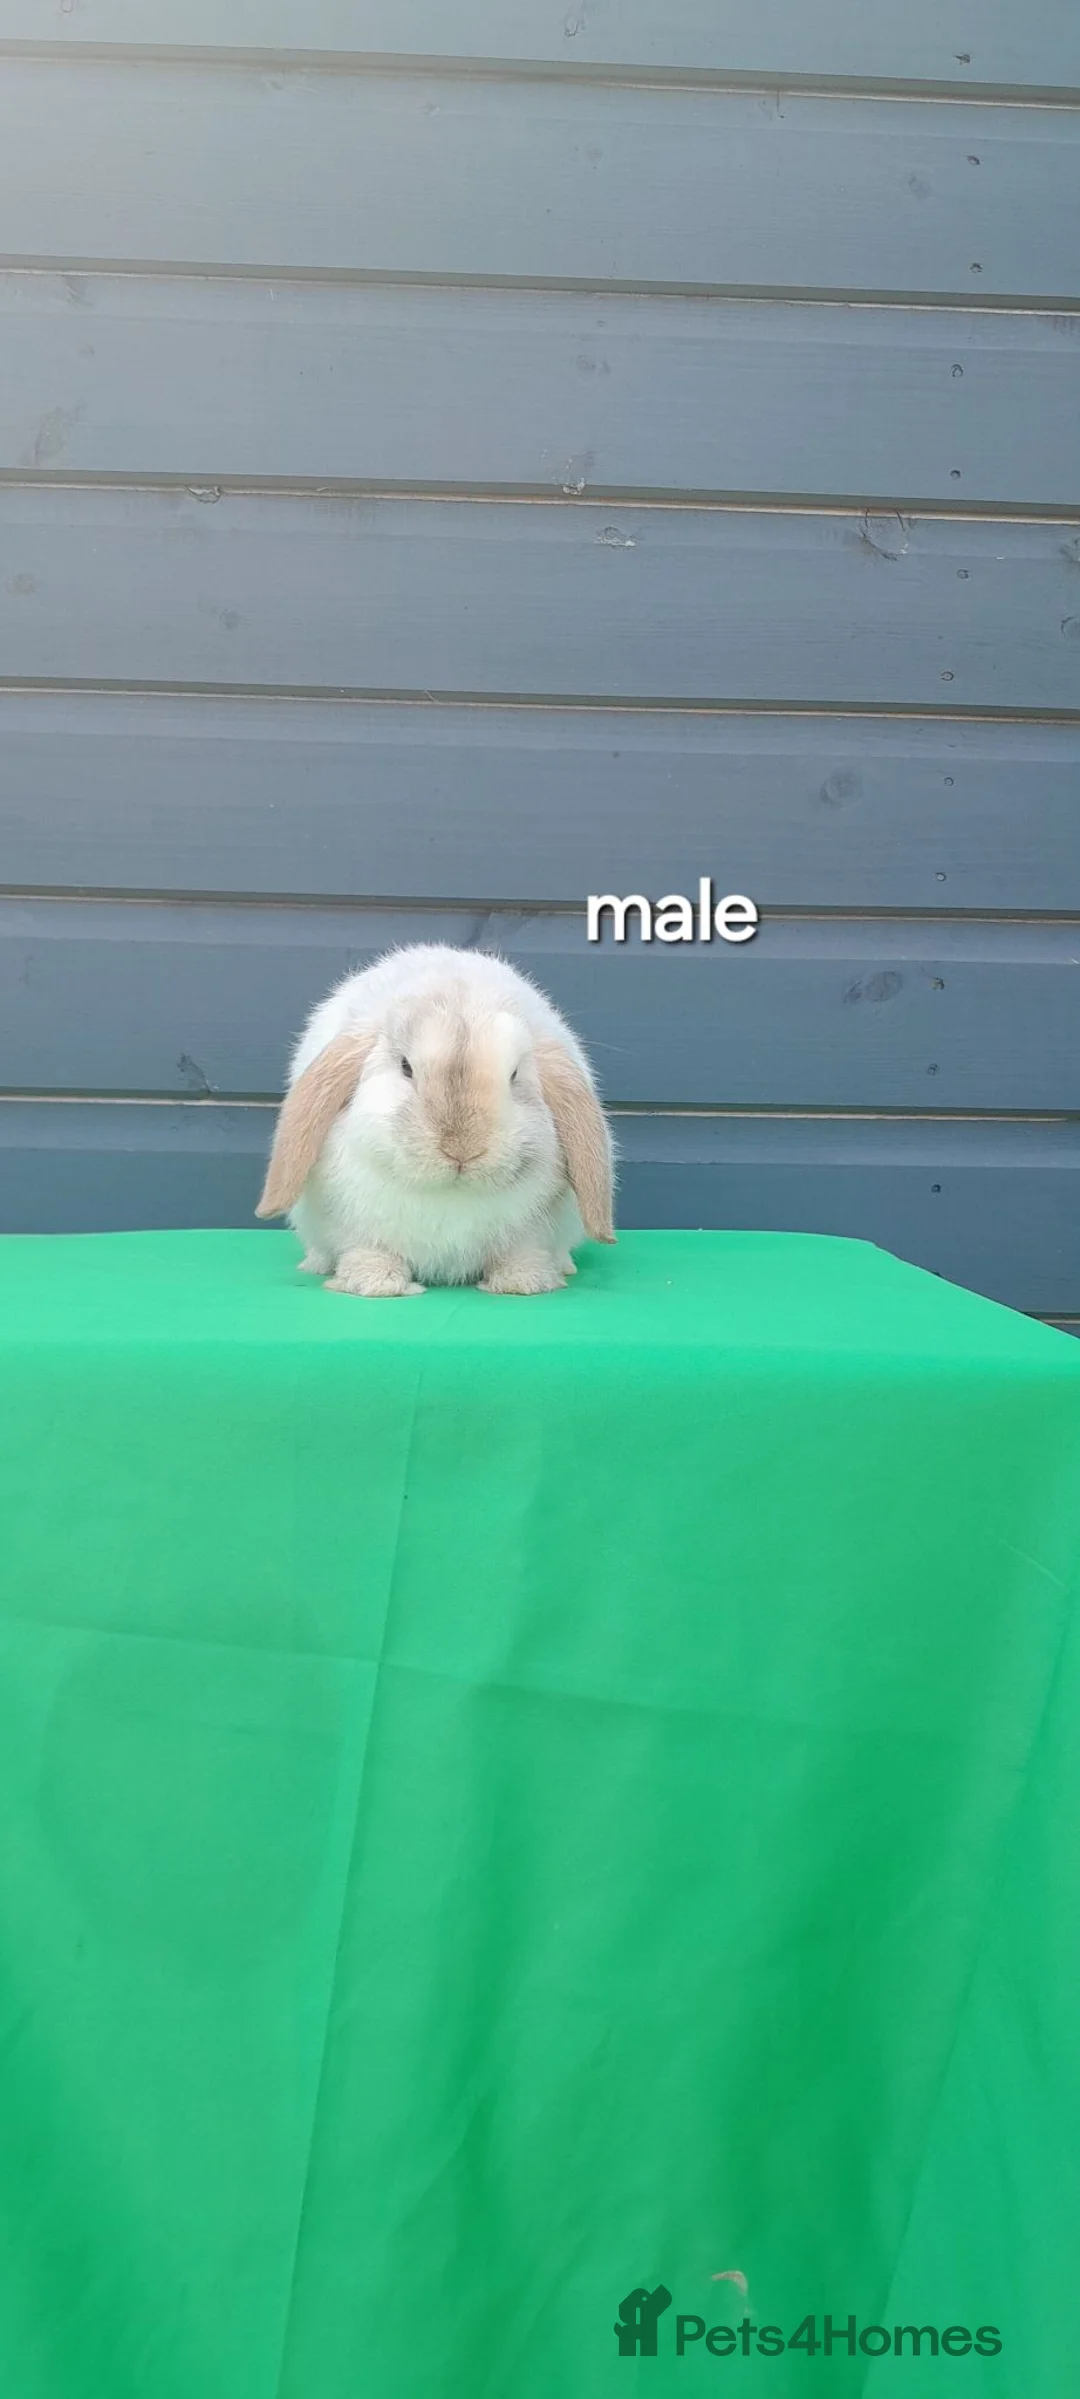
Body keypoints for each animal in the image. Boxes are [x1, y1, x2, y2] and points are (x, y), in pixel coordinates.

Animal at [255, 944, 616, 1296]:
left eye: (514, 1075)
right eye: (405, 1067)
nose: (462, 1150)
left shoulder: (532, 1236)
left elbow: (523, 1254)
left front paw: (523, 1282)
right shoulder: (355, 1229)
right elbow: (368, 1251)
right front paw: (376, 1284)